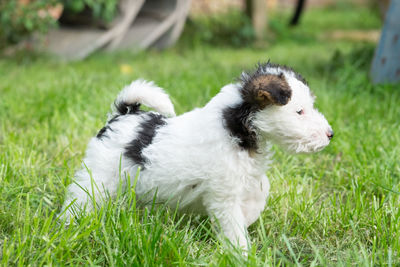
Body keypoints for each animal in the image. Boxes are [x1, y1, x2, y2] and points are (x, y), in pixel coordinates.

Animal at [60, 62, 334, 251]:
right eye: (299, 111)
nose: (330, 134)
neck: (234, 126)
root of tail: (123, 115)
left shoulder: (244, 178)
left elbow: (260, 190)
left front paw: (249, 219)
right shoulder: (223, 197)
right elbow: (233, 225)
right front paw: (241, 252)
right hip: (98, 176)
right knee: (80, 198)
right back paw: (70, 224)